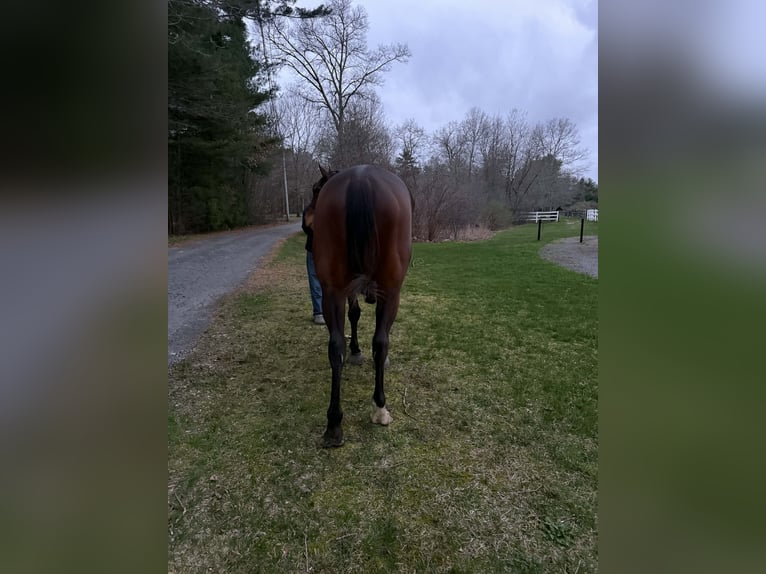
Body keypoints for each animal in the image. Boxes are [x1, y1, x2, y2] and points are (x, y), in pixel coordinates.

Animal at [310, 164, 413, 447]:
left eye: (315, 189)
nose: (304, 223)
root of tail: (360, 178)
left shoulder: (346, 288)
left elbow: (353, 315)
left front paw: (355, 351)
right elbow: (374, 329)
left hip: (332, 290)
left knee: (336, 346)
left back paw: (334, 423)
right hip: (390, 290)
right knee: (381, 340)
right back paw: (379, 406)